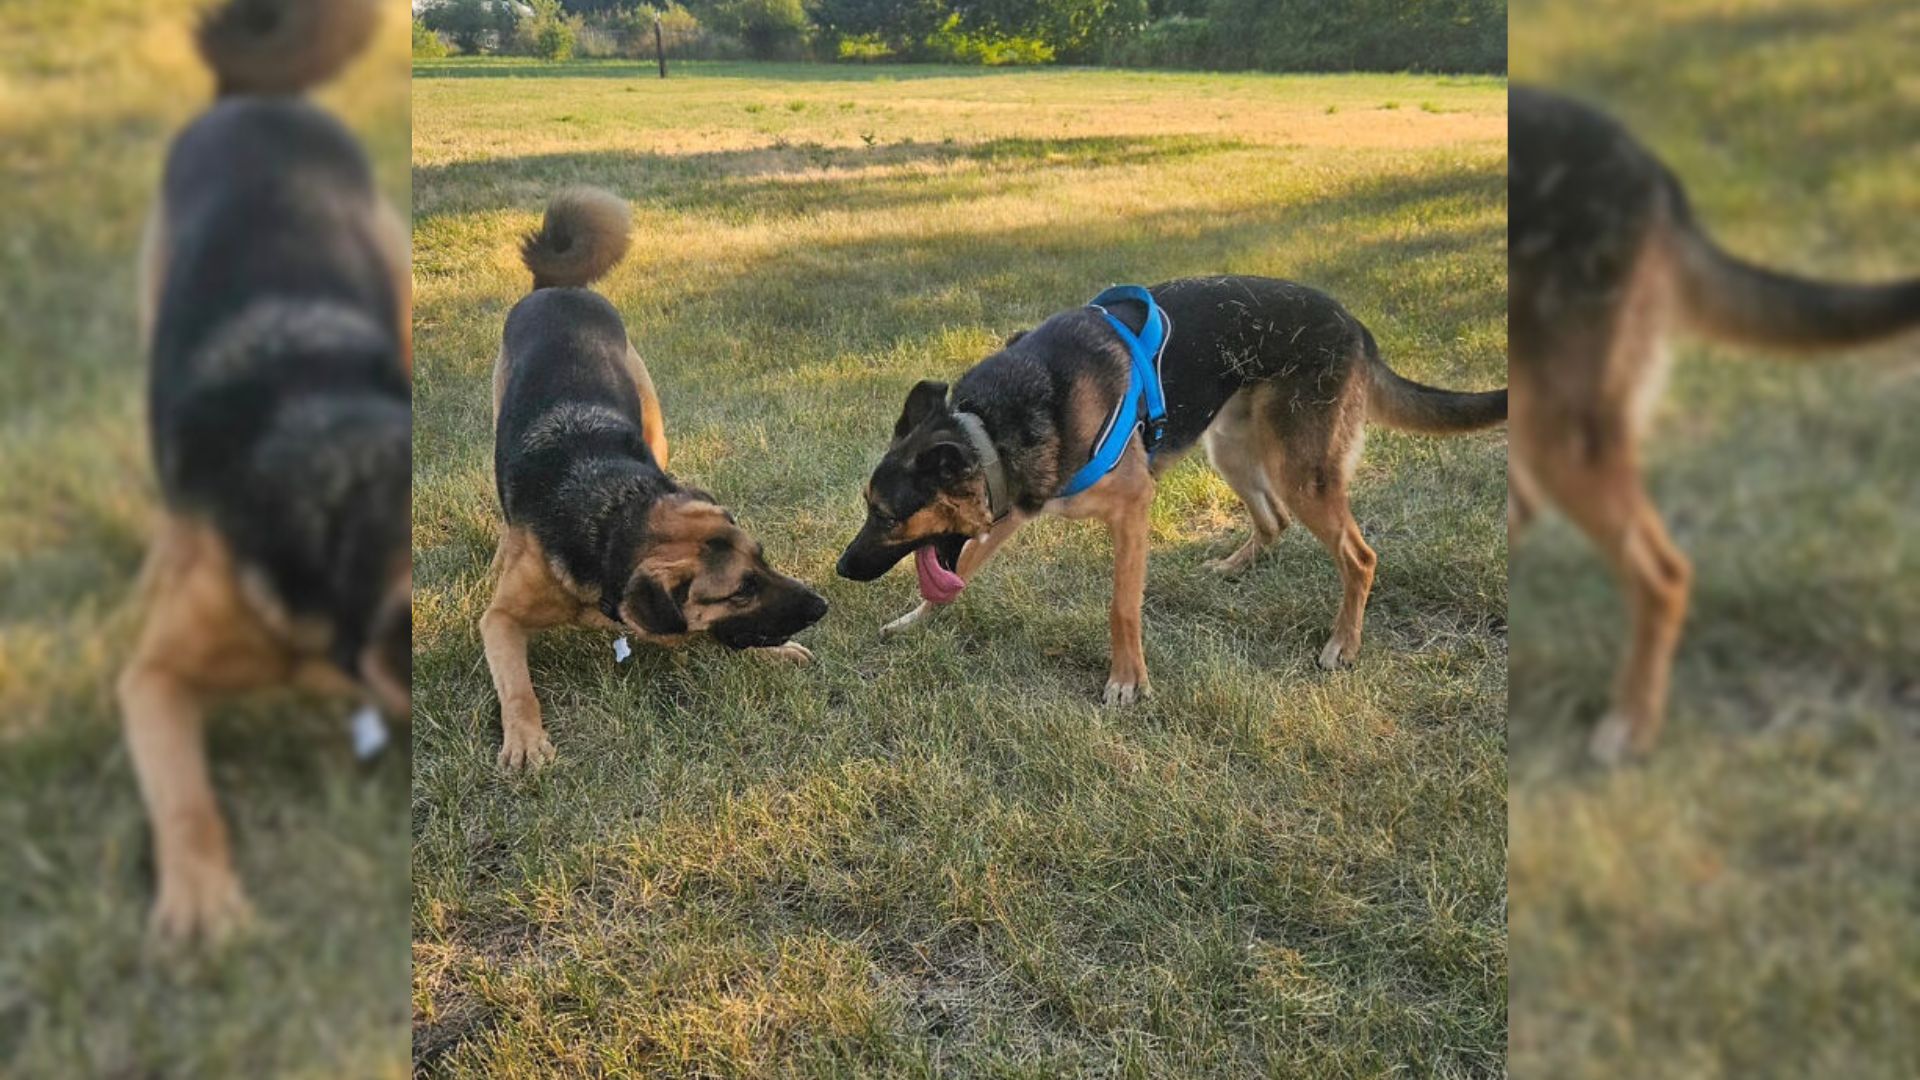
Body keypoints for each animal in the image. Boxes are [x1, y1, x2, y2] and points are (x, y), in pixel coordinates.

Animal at [837, 272, 1497, 703]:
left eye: (887, 516)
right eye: (870, 508)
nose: (840, 570)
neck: (991, 429)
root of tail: (1356, 327)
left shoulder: (1132, 507)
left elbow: (1122, 606)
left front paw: (1127, 680)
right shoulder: (1015, 509)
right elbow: (964, 569)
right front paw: (914, 621)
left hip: (1299, 472)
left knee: (1360, 557)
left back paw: (1344, 644)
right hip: (1230, 449)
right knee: (1274, 521)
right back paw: (1233, 567)